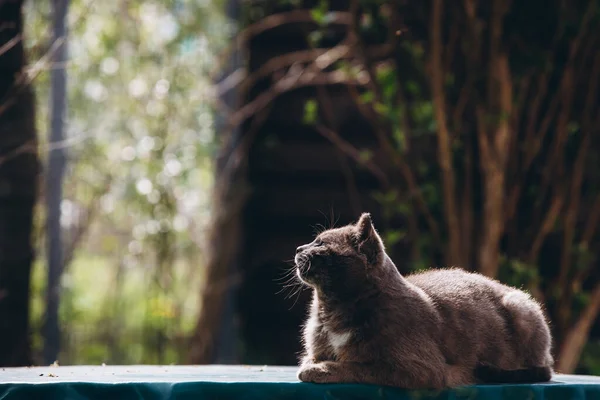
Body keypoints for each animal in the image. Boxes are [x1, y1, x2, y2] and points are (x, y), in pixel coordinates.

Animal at [294, 214, 552, 390]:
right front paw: (314, 365)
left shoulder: (420, 369)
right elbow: (312, 357)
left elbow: (359, 366)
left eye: (320, 243)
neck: (332, 310)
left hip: (520, 306)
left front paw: (319, 369)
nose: (298, 247)